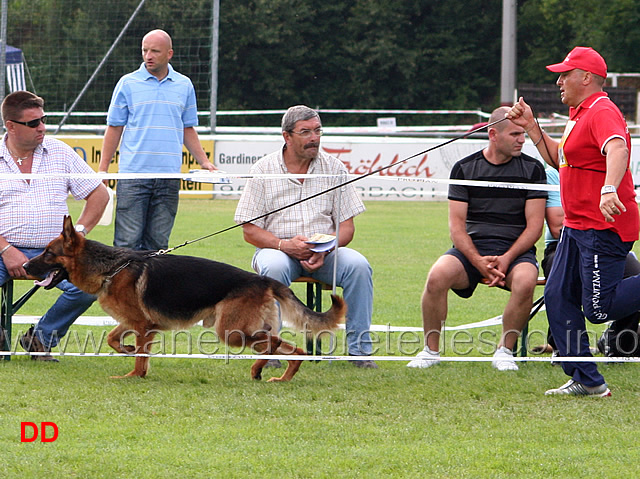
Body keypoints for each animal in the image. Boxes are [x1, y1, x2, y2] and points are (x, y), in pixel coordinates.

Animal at [23, 218, 344, 382]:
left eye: (48, 253)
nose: (24, 266)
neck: (111, 267)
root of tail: (262, 279)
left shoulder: (141, 325)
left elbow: (138, 357)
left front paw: (133, 375)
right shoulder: (138, 323)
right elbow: (116, 340)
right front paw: (129, 352)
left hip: (231, 332)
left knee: (275, 343)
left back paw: (258, 370)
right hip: (240, 331)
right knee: (294, 347)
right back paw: (282, 376)